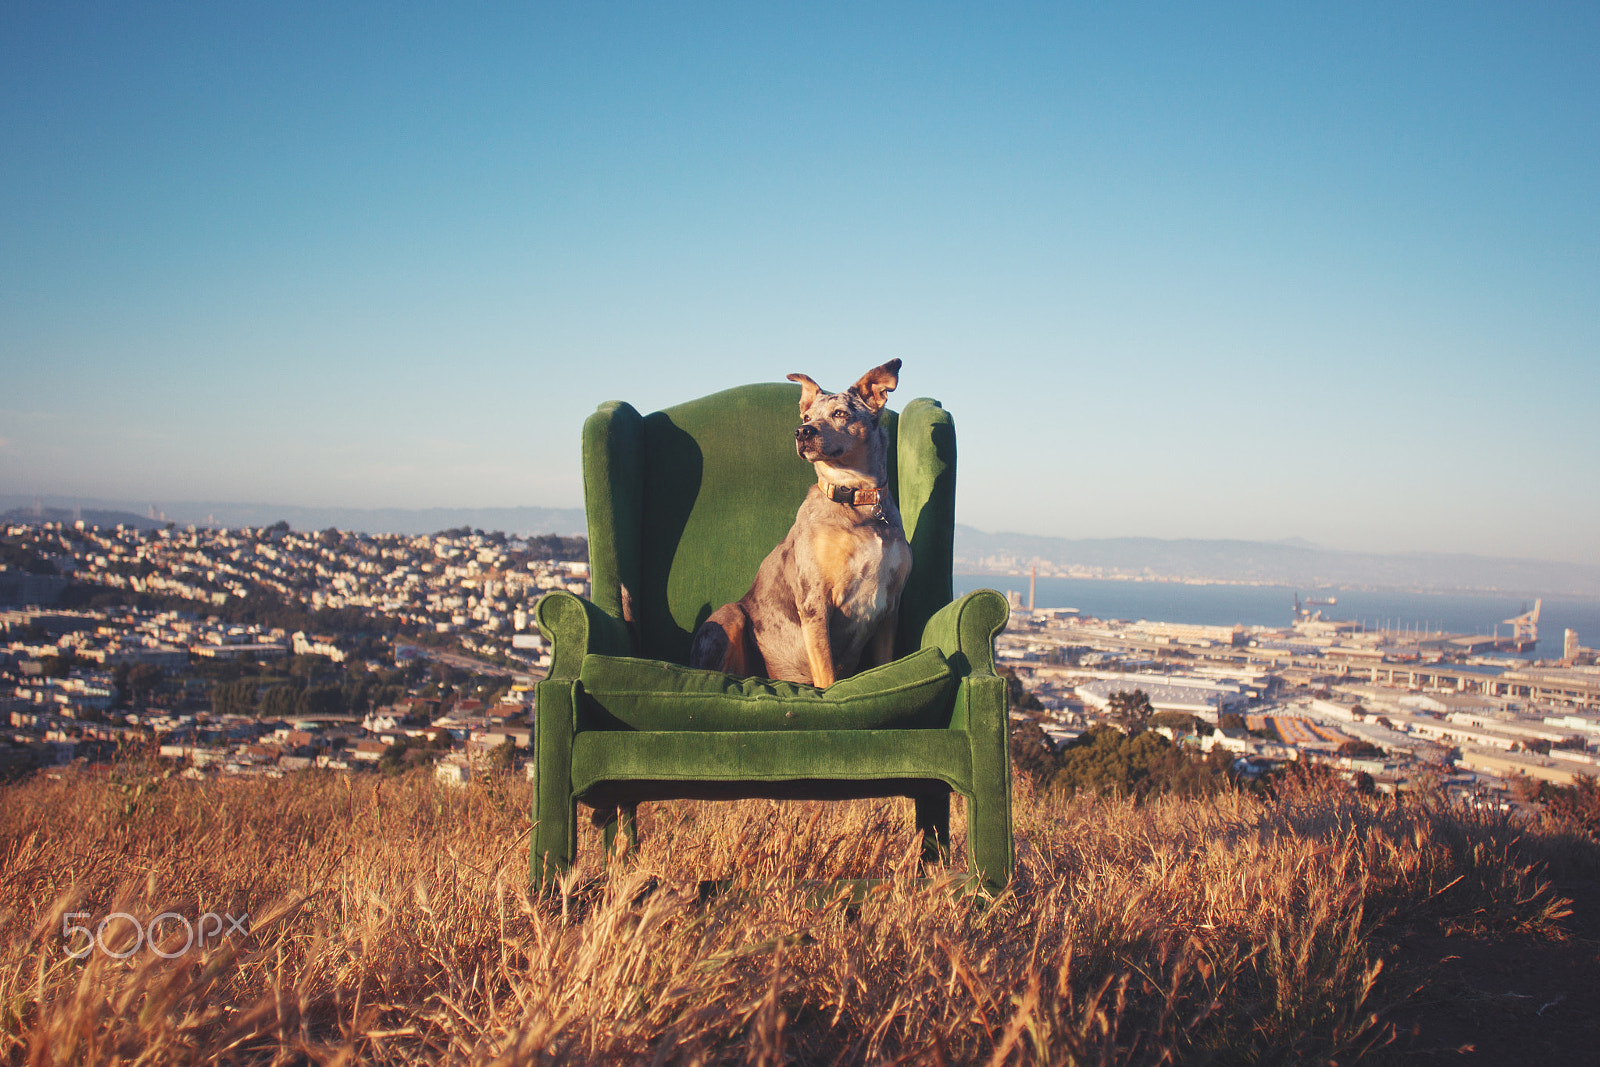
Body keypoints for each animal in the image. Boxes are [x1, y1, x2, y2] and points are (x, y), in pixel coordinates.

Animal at [688, 358, 915, 687]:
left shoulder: (889, 607)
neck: (858, 501)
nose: (801, 432)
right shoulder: (815, 600)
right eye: (807, 416)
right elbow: (827, 676)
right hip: (730, 615)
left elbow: (886, 665)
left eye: (840, 413)